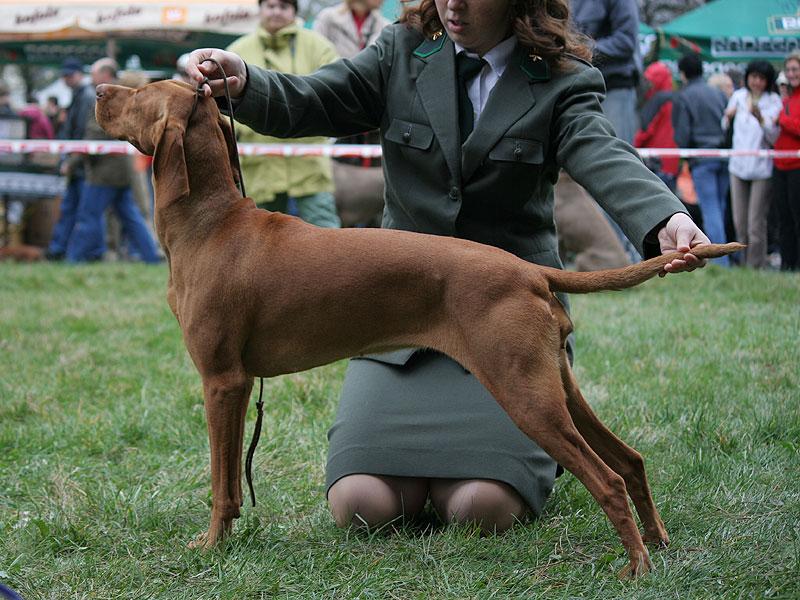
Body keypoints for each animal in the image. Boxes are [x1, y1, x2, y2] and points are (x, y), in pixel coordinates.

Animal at [95, 79, 744, 576]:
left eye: (141, 92)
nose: (99, 89)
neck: (211, 224)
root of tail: (528, 269)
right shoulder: (236, 382)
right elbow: (229, 480)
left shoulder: (222, 381)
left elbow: (221, 482)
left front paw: (211, 547)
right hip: (555, 385)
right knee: (630, 460)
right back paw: (658, 542)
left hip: (525, 396)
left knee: (606, 479)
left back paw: (636, 566)